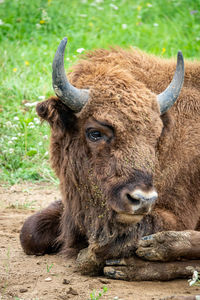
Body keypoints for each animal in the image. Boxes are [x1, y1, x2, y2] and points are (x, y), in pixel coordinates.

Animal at [19, 38, 200, 282]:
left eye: (155, 134)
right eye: (95, 133)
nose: (143, 200)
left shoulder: (175, 215)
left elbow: (106, 247)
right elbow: (29, 233)